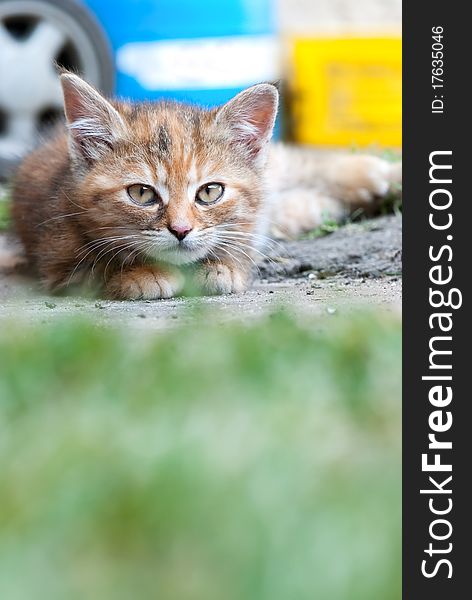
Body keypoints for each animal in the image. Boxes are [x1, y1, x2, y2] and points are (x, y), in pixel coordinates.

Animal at [11, 74, 400, 298]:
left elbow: (238, 246)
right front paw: (143, 274)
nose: (181, 230)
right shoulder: (57, 257)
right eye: (141, 193)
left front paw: (220, 268)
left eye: (210, 192)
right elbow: (96, 267)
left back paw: (383, 175)